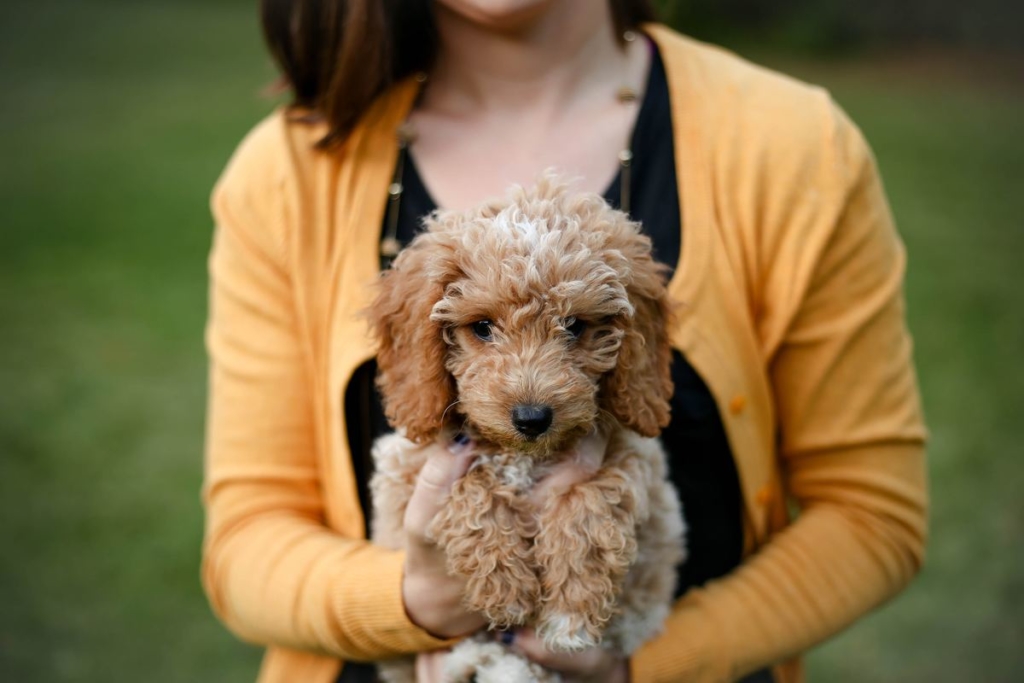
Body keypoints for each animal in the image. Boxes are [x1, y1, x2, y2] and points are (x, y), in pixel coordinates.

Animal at [370, 178, 688, 683]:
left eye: (575, 326)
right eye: (482, 327)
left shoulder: (631, 456)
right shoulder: (410, 470)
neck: (523, 455)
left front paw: (570, 613)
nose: (533, 417)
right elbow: (470, 489)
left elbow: (592, 501)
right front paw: (506, 589)